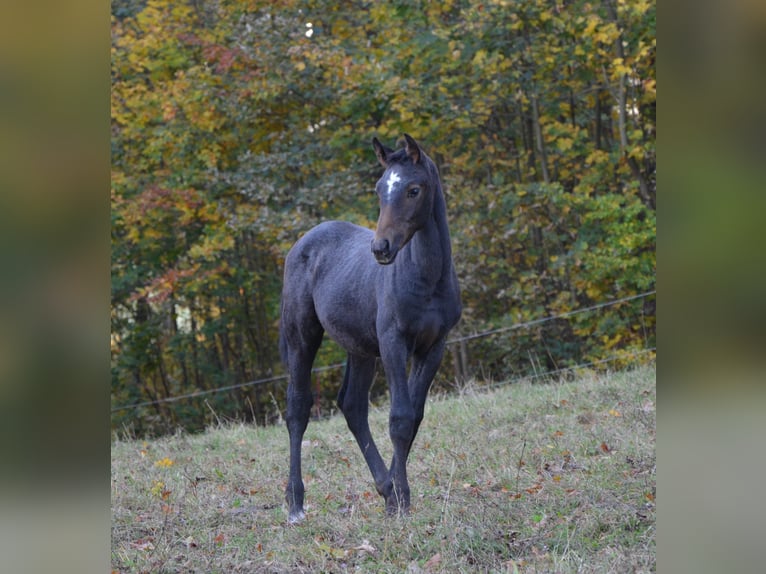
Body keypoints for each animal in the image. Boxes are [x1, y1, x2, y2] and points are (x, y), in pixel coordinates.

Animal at [280, 136, 462, 528]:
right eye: (380, 190)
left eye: (413, 189)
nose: (381, 248)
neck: (426, 280)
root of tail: (303, 242)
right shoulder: (394, 343)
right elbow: (400, 418)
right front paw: (403, 500)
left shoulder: (434, 347)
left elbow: (414, 417)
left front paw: (395, 496)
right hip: (302, 337)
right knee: (298, 408)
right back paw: (296, 504)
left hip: (360, 349)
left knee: (352, 406)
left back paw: (384, 488)